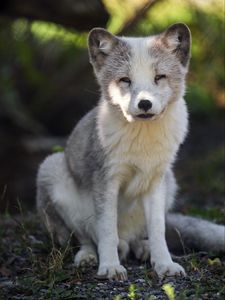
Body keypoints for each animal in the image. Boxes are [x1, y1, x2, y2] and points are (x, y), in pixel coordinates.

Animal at [36, 24, 224, 282]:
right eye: (125, 80)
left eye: (159, 77)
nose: (144, 104)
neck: (141, 143)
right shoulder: (106, 180)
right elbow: (107, 230)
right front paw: (110, 267)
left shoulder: (155, 181)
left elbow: (158, 230)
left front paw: (164, 264)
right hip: (52, 170)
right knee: (85, 237)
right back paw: (88, 257)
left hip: (170, 181)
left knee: (135, 238)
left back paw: (142, 249)